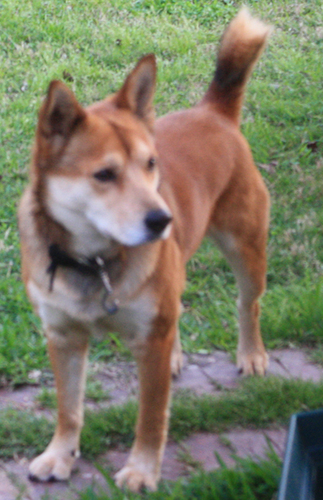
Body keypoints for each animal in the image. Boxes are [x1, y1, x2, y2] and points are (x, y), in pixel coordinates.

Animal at [19, 7, 272, 492]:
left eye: (151, 163)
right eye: (104, 174)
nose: (162, 220)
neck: (93, 263)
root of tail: (213, 111)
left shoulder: (148, 340)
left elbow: (151, 417)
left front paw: (141, 470)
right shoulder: (62, 335)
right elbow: (68, 408)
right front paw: (59, 455)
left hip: (246, 249)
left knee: (247, 304)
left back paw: (251, 355)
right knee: (179, 308)